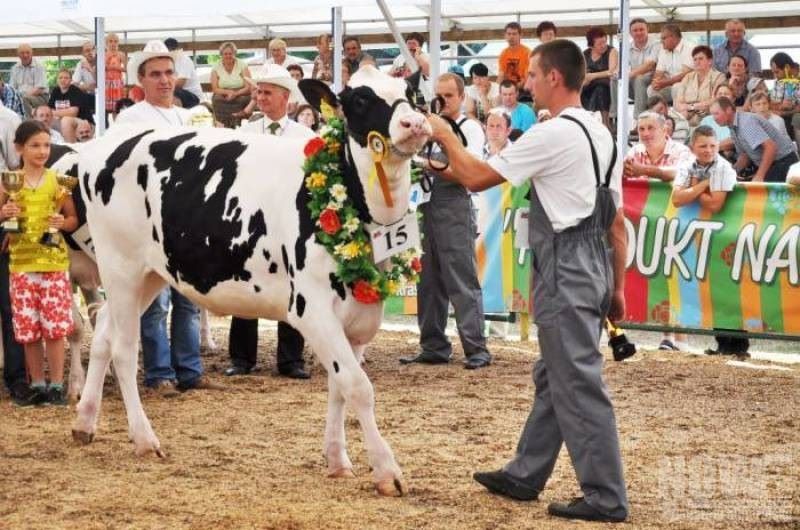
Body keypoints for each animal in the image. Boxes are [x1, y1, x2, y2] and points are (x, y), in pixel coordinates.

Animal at [69, 67, 432, 496]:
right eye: (359, 99)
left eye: (413, 95)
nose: (415, 123)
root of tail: (102, 146)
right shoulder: (311, 309)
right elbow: (359, 387)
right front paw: (387, 471)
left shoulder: (357, 313)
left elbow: (339, 386)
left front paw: (337, 460)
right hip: (120, 264)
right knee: (124, 349)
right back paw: (144, 439)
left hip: (150, 273)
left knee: (104, 334)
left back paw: (84, 422)